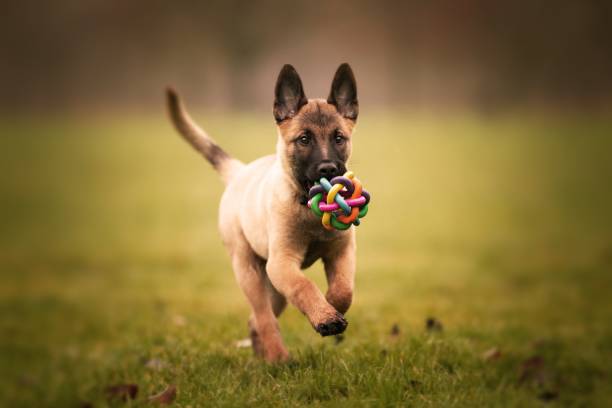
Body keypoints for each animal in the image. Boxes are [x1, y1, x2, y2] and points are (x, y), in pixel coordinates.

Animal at [166, 62, 358, 362]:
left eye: (339, 138)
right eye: (304, 139)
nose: (328, 169)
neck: (309, 210)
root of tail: (240, 171)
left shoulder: (342, 251)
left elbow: (344, 289)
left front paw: (330, 306)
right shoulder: (282, 262)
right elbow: (304, 286)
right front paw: (325, 317)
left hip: (274, 288)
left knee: (256, 320)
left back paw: (263, 355)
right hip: (250, 272)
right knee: (264, 317)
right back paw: (279, 358)